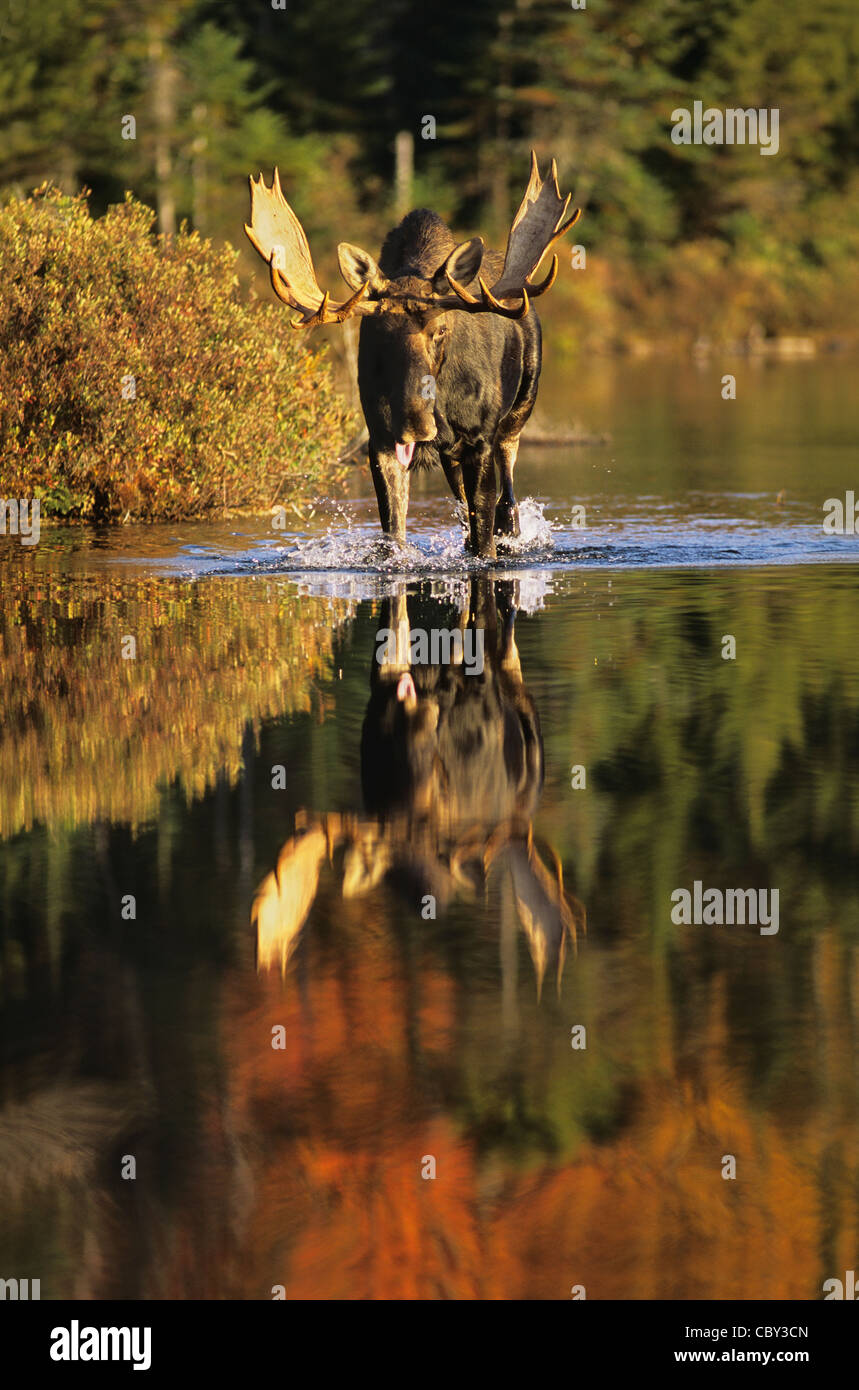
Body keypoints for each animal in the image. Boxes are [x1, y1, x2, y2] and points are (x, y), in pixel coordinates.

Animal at [241, 154, 575, 556]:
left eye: (441, 330)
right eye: (379, 333)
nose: (416, 422)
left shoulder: (478, 437)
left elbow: (485, 537)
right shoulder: (381, 440)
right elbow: (394, 533)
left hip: (520, 407)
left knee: (507, 488)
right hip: (449, 452)